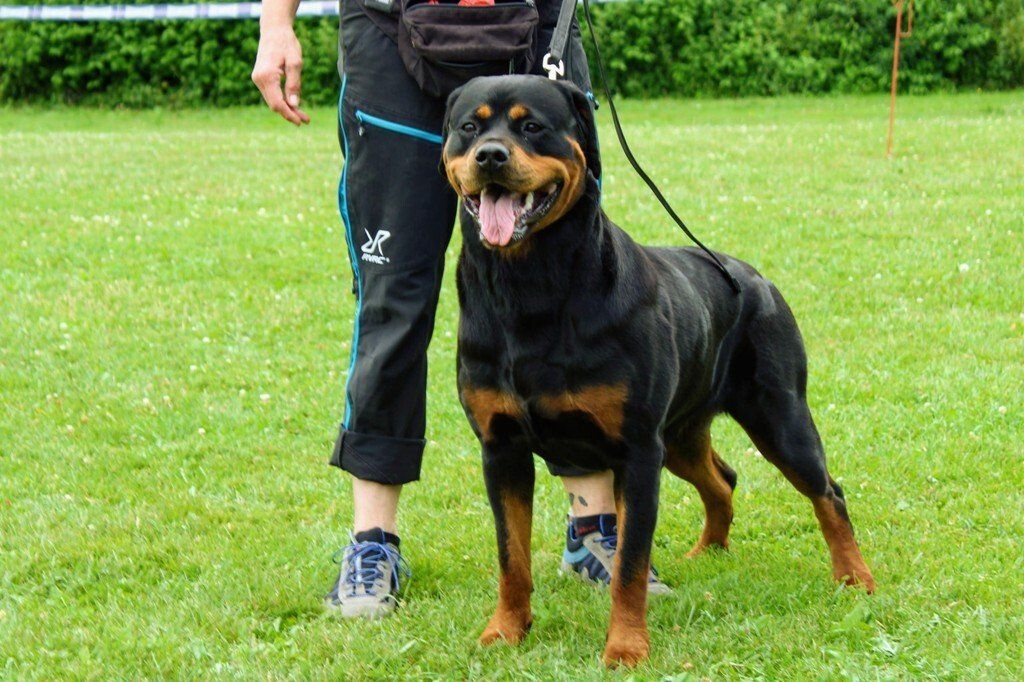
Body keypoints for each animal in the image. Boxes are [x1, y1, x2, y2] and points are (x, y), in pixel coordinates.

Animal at [441, 75, 875, 668]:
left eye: (532, 126)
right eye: (469, 127)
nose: (490, 155)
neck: (529, 286)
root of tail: (757, 278)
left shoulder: (637, 451)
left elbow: (629, 562)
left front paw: (625, 646)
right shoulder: (501, 447)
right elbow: (512, 556)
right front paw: (505, 631)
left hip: (778, 417)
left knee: (828, 490)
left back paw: (854, 576)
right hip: (681, 434)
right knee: (722, 479)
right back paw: (709, 550)